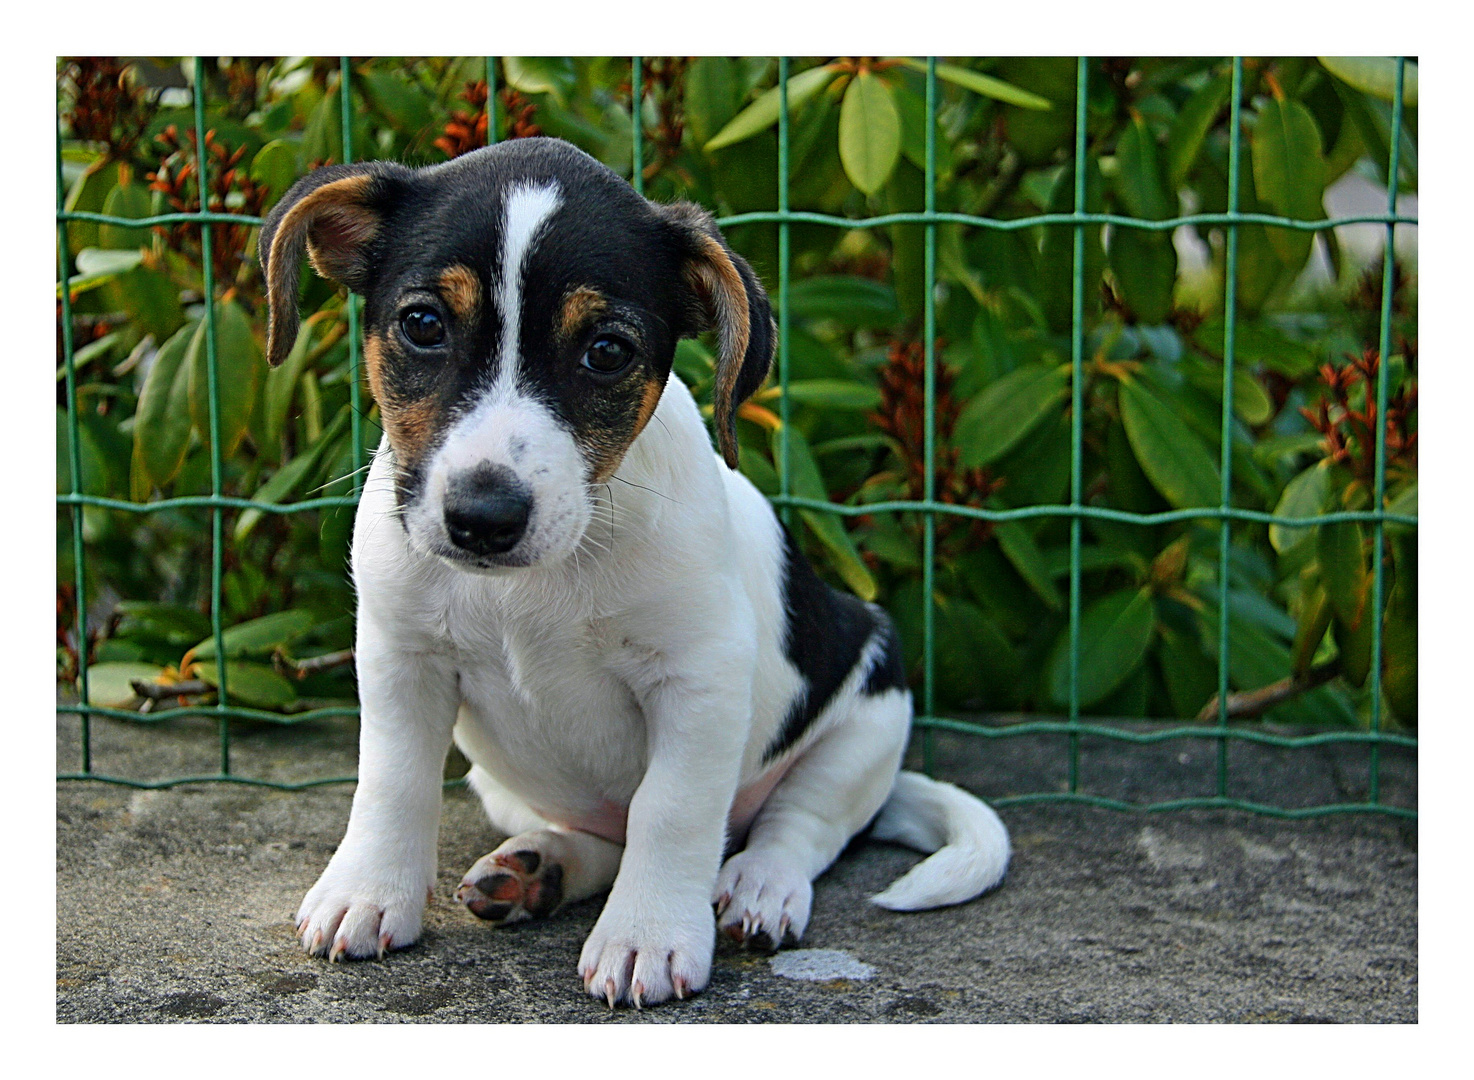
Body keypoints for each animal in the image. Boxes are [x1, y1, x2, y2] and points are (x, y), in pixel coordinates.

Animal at [259, 137, 1008, 1013]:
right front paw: (368, 892)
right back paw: (539, 870)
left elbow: (672, 811)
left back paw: (761, 888)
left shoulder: (698, 680)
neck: (535, 582)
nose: (483, 516)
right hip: (501, 778)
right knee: (605, 838)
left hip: (867, 715)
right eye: (422, 325)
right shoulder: (399, 657)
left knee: (800, 826)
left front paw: (647, 935)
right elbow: (392, 782)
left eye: (607, 351)